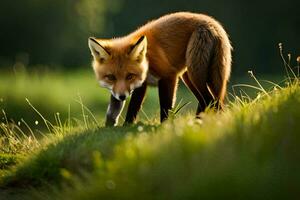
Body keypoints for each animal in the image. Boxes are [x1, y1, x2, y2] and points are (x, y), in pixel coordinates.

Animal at [87, 11, 232, 126]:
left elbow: (165, 107)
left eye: (129, 76)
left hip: (195, 73)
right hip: (188, 77)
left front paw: (165, 127)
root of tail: (214, 23)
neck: (147, 61)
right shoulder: (140, 85)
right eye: (111, 77)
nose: (122, 97)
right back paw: (197, 122)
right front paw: (116, 126)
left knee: (211, 100)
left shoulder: (169, 76)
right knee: (205, 101)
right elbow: (127, 108)